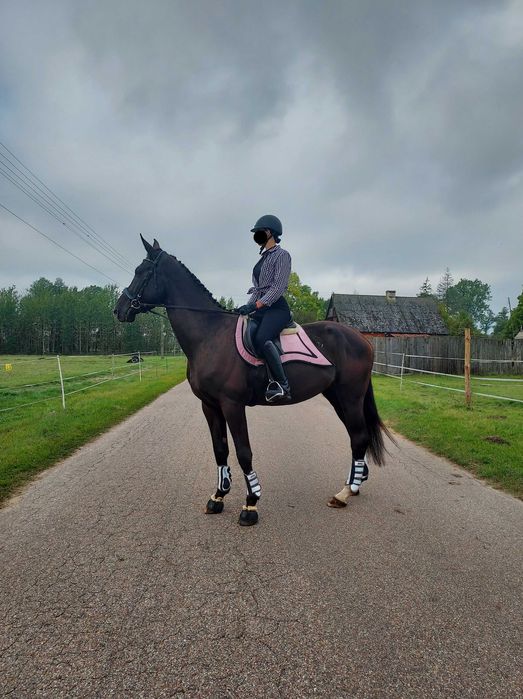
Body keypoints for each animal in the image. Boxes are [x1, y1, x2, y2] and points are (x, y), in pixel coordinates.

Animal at [114, 235, 390, 524]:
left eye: (141, 272)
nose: (119, 309)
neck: (210, 335)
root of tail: (361, 338)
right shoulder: (209, 405)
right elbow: (220, 450)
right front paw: (218, 497)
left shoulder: (232, 405)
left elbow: (243, 452)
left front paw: (251, 503)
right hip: (336, 396)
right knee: (356, 436)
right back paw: (354, 483)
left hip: (350, 396)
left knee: (358, 436)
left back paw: (345, 493)